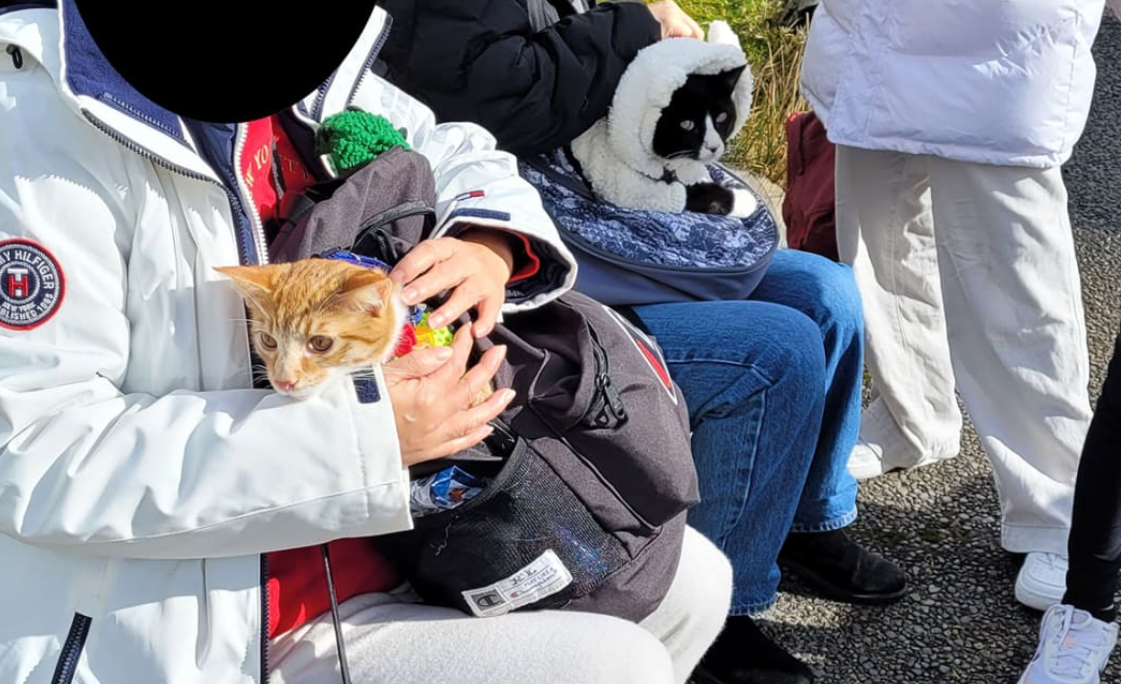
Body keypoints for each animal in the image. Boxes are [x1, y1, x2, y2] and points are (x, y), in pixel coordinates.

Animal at [573, 19, 757, 215]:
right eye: (687, 124)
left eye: (722, 117)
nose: (714, 147)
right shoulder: (636, 188)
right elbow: (701, 195)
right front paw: (746, 200)